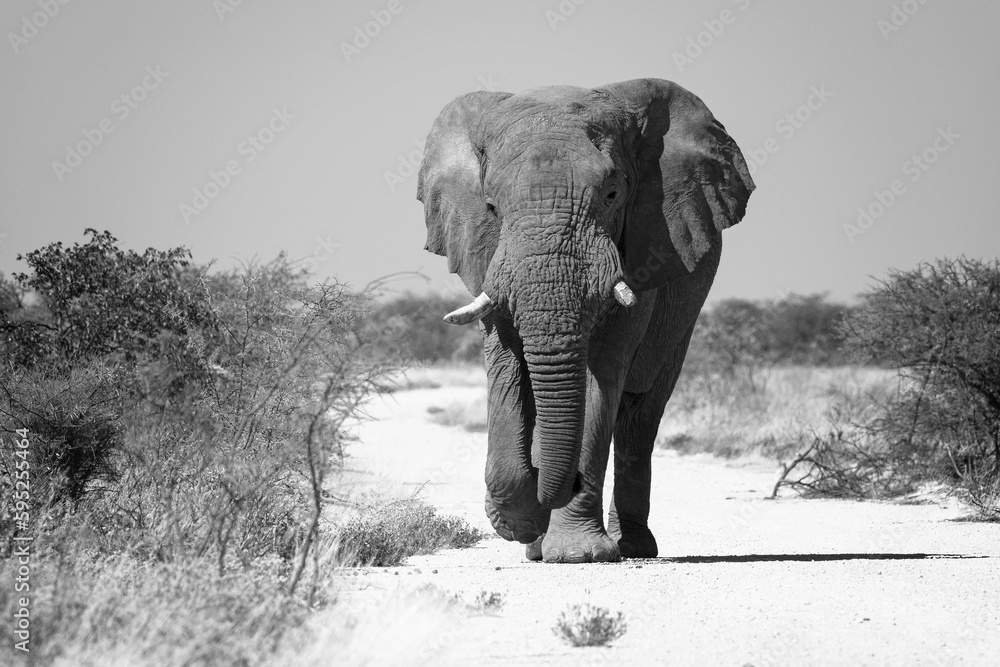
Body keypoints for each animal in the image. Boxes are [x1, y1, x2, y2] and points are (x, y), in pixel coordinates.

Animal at [416, 78, 754, 563]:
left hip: (684, 313)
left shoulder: (644, 250)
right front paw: (525, 523)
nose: (568, 482)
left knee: (639, 414)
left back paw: (631, 546)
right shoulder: (487, 259)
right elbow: (507, 366)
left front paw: (578, 553)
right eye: (491, 207)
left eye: (612, 195)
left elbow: (601, 375)